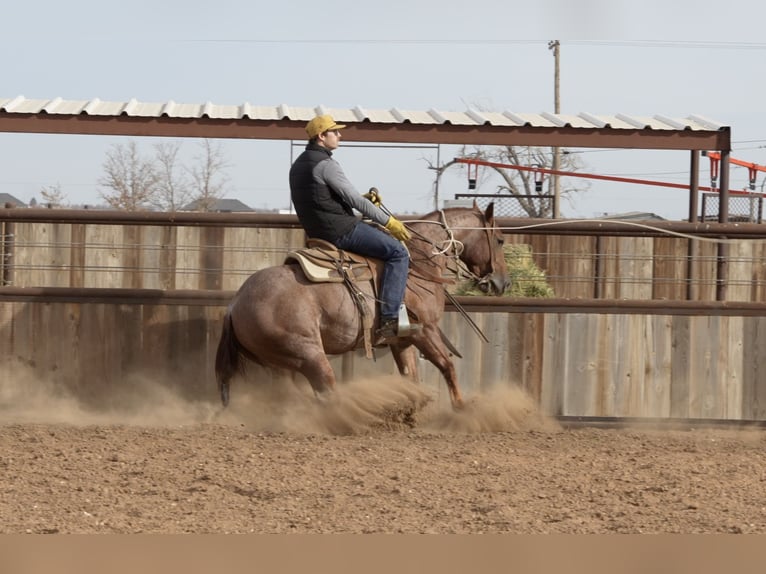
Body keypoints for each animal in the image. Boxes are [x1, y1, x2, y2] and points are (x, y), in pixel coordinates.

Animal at [213, 201, 510, 410]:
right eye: (500, 240)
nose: (502, 283)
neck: (419, 262)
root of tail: (235, 305)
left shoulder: (403, 339)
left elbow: (411, 377)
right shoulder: (426, 330)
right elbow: (447, 365)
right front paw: (462, 408)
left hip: (281, 364)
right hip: (308, 354)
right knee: (325, 393)